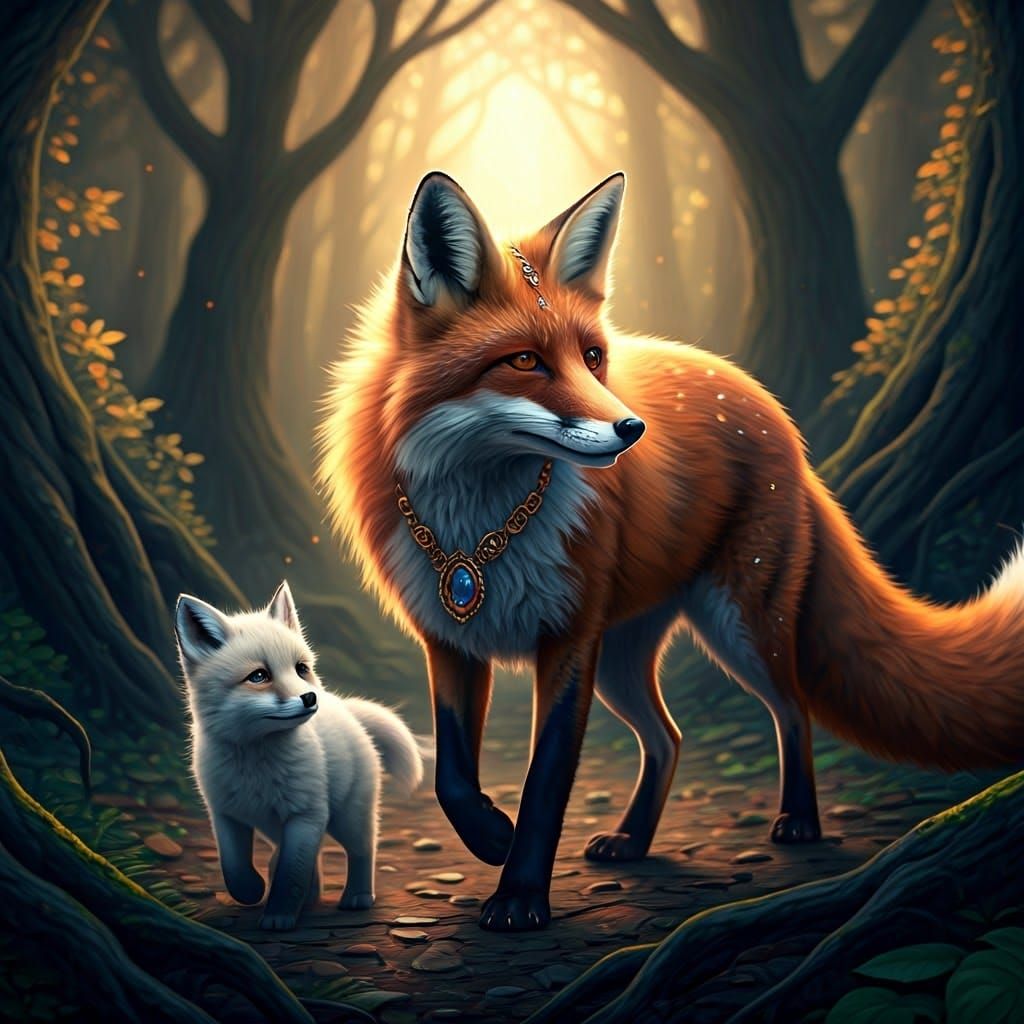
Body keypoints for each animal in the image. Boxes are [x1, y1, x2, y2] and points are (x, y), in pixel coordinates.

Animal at [174, 581, 424, 930]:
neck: (256, 764)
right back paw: (310, 898)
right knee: (308, 856)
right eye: (259, 676)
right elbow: (234, 867)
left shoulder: (305, 815)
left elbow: (291, 873)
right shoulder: (225, 814)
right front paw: (253, 891)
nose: (310, 698)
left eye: (301, 669)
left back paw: (357, 897)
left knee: (362, 850)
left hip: (348, 818)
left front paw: (278, 914)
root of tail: (348, 711)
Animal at [317, 170, 1024, 931]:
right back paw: (632, 839)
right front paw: (490, 837)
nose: (633, 429)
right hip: (625, 660)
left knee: (792, 710)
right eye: (525, 361)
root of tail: (772, 411)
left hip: (739, 630)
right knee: (669, 737)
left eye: (593, 357)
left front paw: (520, 893)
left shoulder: (569, 641)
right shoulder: (450, 640)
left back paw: (799, 822)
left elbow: (546, 782)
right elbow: (452, 776)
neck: (479, 533)